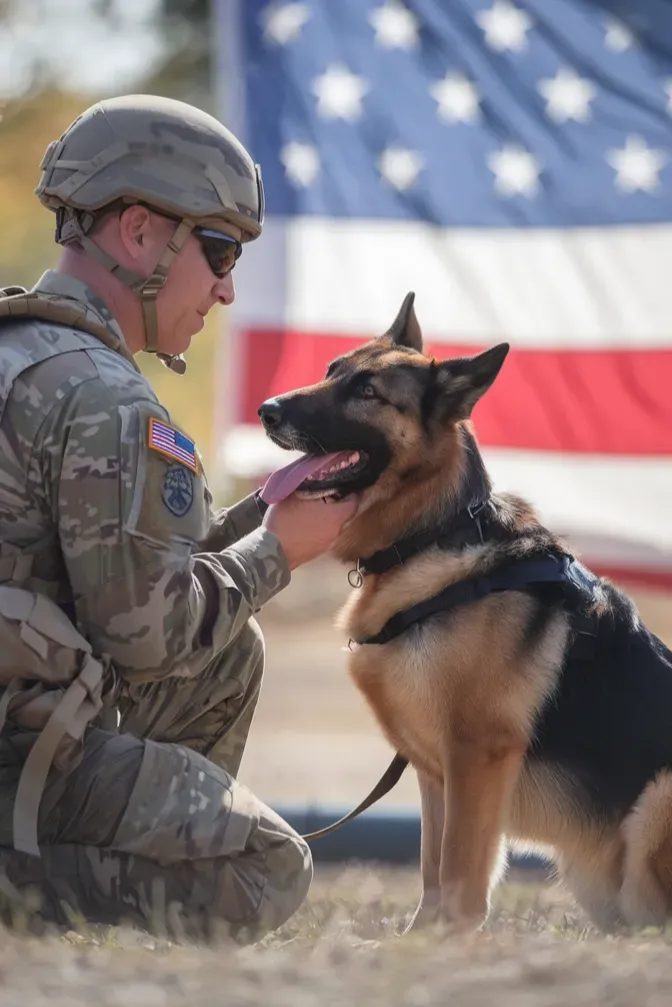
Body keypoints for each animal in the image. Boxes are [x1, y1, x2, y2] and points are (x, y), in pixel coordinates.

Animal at [259, 292, 672, 934]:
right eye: (331, 371)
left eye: (368, 392)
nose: (266, 410)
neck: (431, 534)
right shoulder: (436, 772)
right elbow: (432, 869)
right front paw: (417, 940)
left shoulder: (478, 756)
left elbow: (458, 869)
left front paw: (449, 940)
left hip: (659, 799)